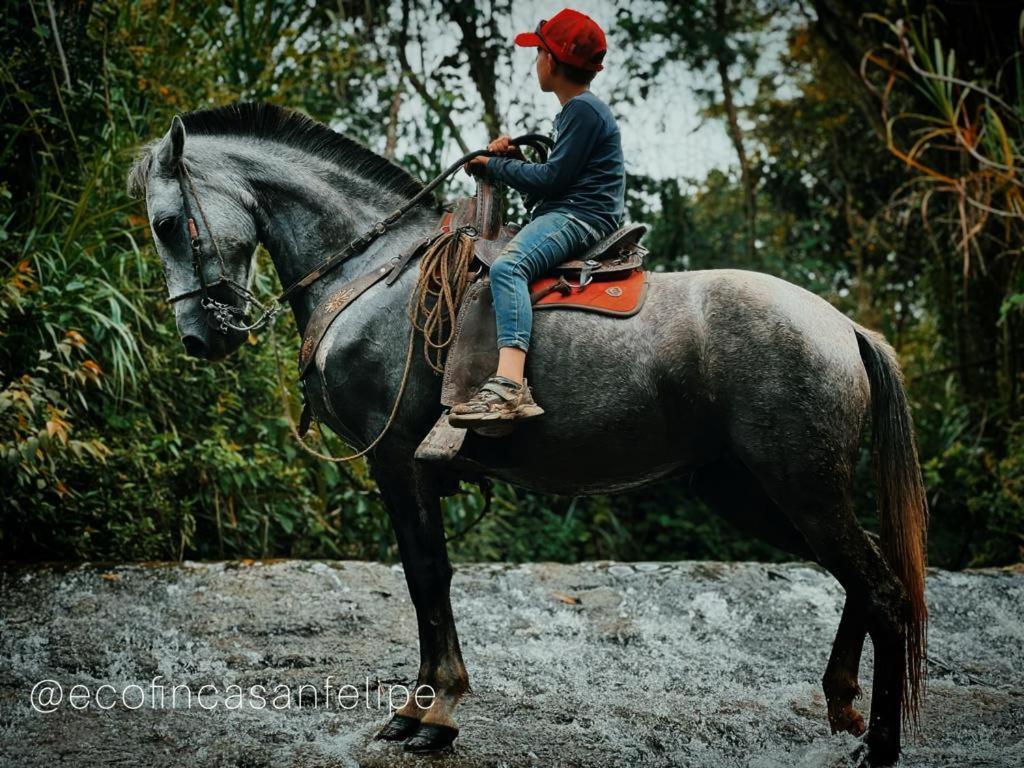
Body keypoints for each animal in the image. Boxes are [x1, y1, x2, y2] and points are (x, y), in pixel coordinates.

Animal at [128, 103, 929, 768]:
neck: (374, 275)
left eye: (167, 224)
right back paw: (843, 706)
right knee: (864, 575)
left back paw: (881, 744)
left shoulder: (399, 464)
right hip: (754, 494)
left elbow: (426, 576)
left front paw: (432, 712)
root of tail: (844, 327)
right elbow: (426, 579)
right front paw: (421, 710)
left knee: (884, 589)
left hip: (801, 489)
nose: (199, 338)